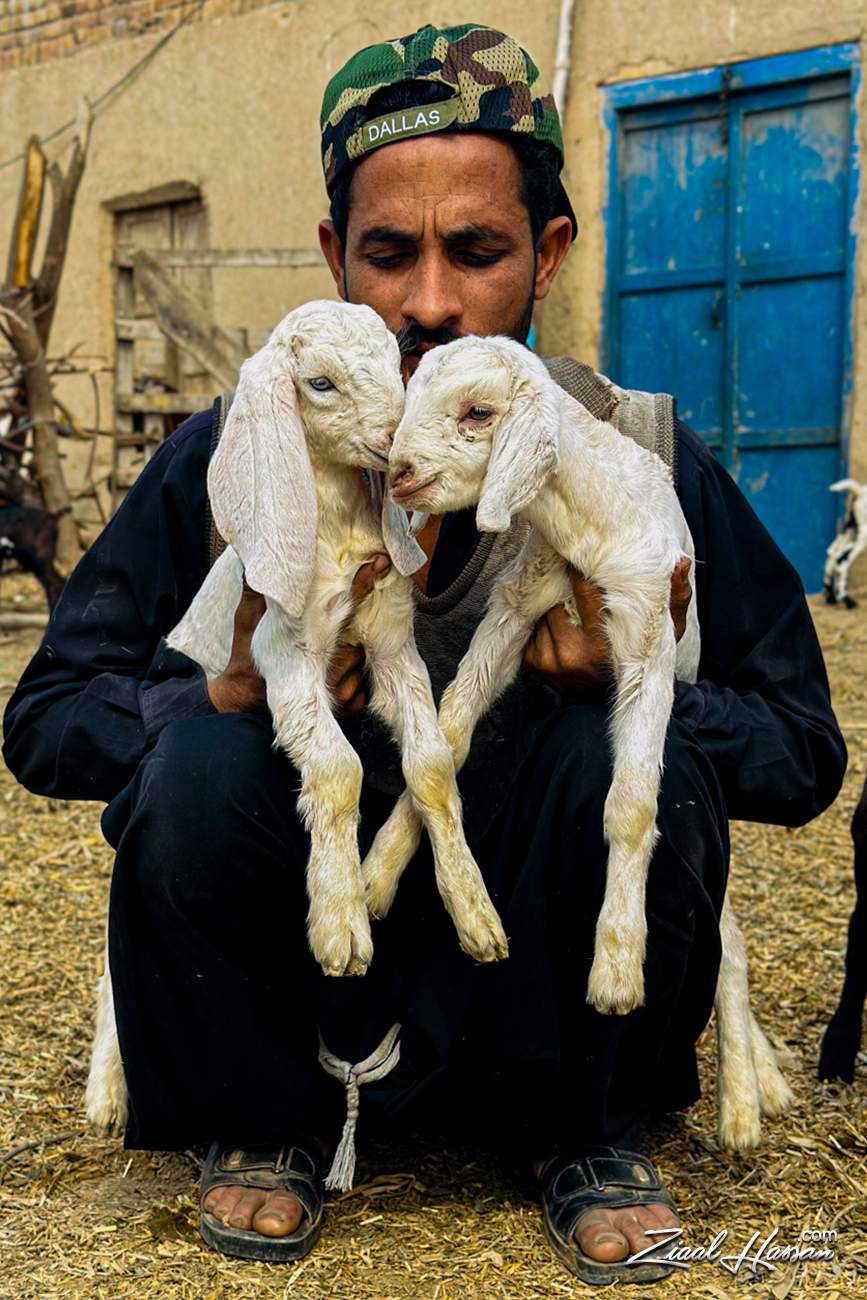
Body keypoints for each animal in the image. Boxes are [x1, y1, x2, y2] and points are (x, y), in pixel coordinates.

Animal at [85, 302, 507, 1137]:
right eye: (319, 383)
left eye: (397, 361)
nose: (393, 441)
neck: (335, 523)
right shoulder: (281, 647)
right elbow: (337, 766)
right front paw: (339, 921)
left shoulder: (390, 639)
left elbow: (432, 764)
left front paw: (473, 912)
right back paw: (109, 1094)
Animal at [361, 334, 791, 1148]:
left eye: (479, 412)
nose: (399, 474)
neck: (586, 523)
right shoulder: (519, 604)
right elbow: (451, 732)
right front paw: (379, 874)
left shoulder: (647, 635)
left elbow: (631, 805)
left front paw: (617, 969)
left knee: (732, 941)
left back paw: (745, 1102)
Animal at [824, 479, 867, 608]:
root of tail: (859, 491)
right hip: (863, 532)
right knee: (842, 559)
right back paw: (847, 600)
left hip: (849, 527)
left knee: (832, 552)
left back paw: (831, 597)